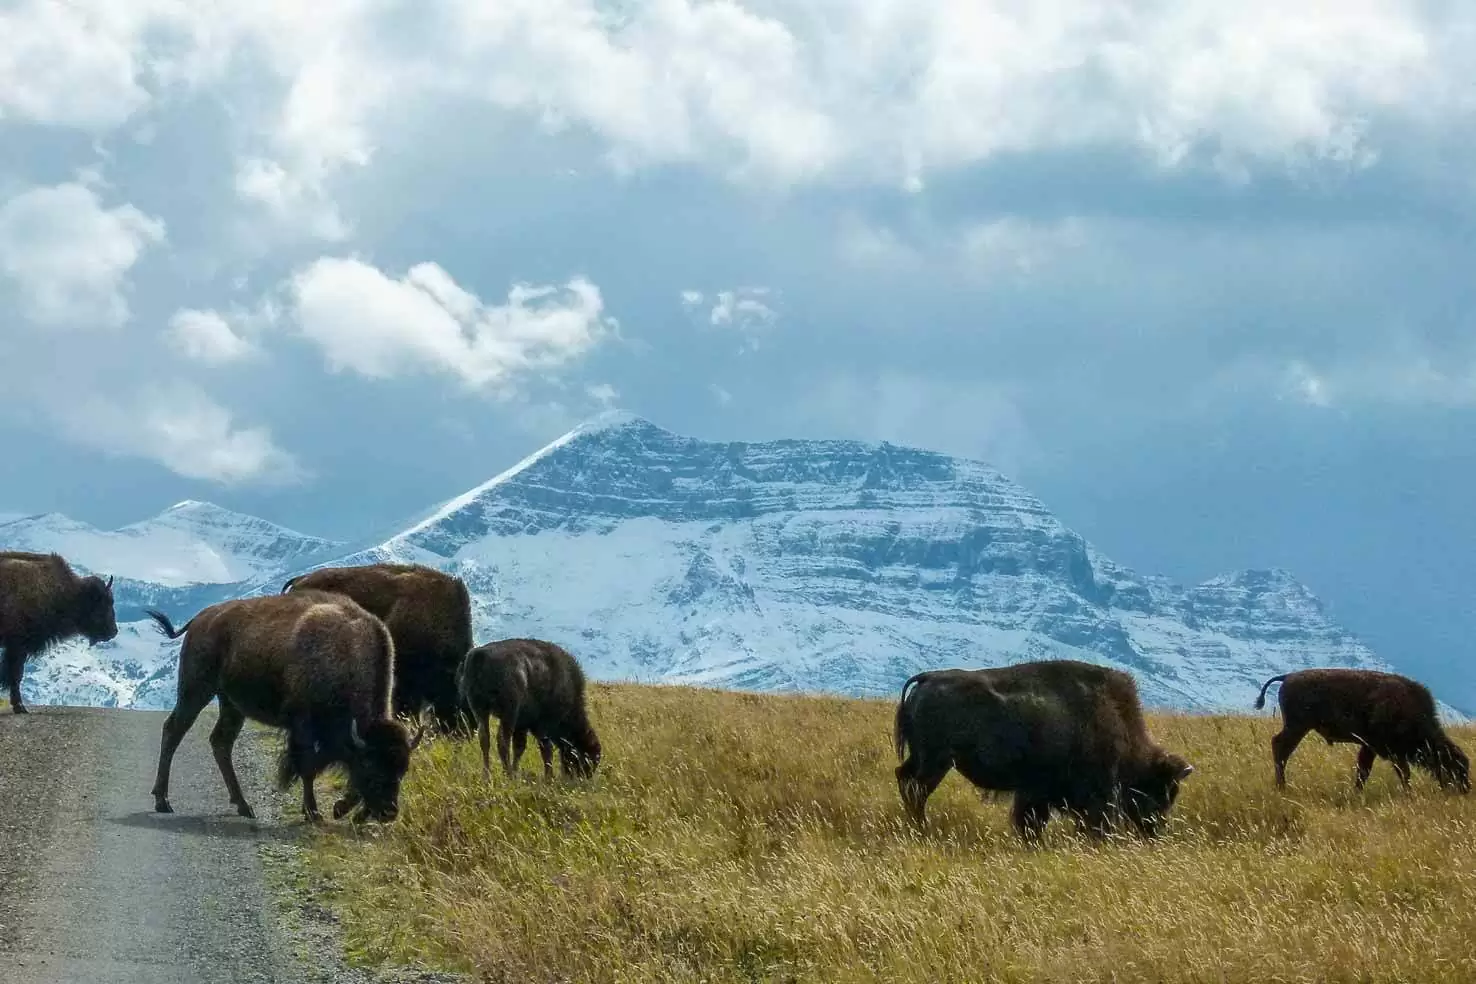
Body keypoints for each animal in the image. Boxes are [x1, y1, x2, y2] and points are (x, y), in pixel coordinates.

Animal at [144, 590, 425, 826]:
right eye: (370, 766)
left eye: (403, 769)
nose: (388, 812)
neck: (345, 656)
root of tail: (200, 619)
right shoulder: (303, 727)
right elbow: (307, 767)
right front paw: (314, 812)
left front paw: (341, 809)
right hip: (196, 690)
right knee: (174, 731)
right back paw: (163, 801)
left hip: (231, 705)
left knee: (221, 742)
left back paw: (244, 806)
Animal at [457, 640, 602, 784]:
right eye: (586, 756)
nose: (582, 778)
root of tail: (480, 654)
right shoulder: (541, 725)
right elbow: (546, 749)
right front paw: (548, 777)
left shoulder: (522, 725)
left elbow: (519, 747)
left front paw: (517, 772)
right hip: (509, 712)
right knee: (502, 740)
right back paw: (507, 775)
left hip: (480, 709)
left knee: (485, 739)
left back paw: (488, 776)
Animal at [891, 657, 1192, 843]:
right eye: (1161, 789)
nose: (1155, 830)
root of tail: (928, 679)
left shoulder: (1036, 791)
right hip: (935, 762)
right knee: (916, 789)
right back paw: (922, 828)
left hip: (924, 759)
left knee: (905, 779)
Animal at [1251, 666, 1470, 796]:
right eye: (1456, 767)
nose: (1466, 789)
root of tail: (1287, 677)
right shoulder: (1389, 750)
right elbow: (1403, 772)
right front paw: (1409, 793)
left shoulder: (1370, 747)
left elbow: (1364, 771)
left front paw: (1357, 792)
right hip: (1297, 727)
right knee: (1280, 748)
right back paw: (1282, 786)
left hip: (1297, 727)